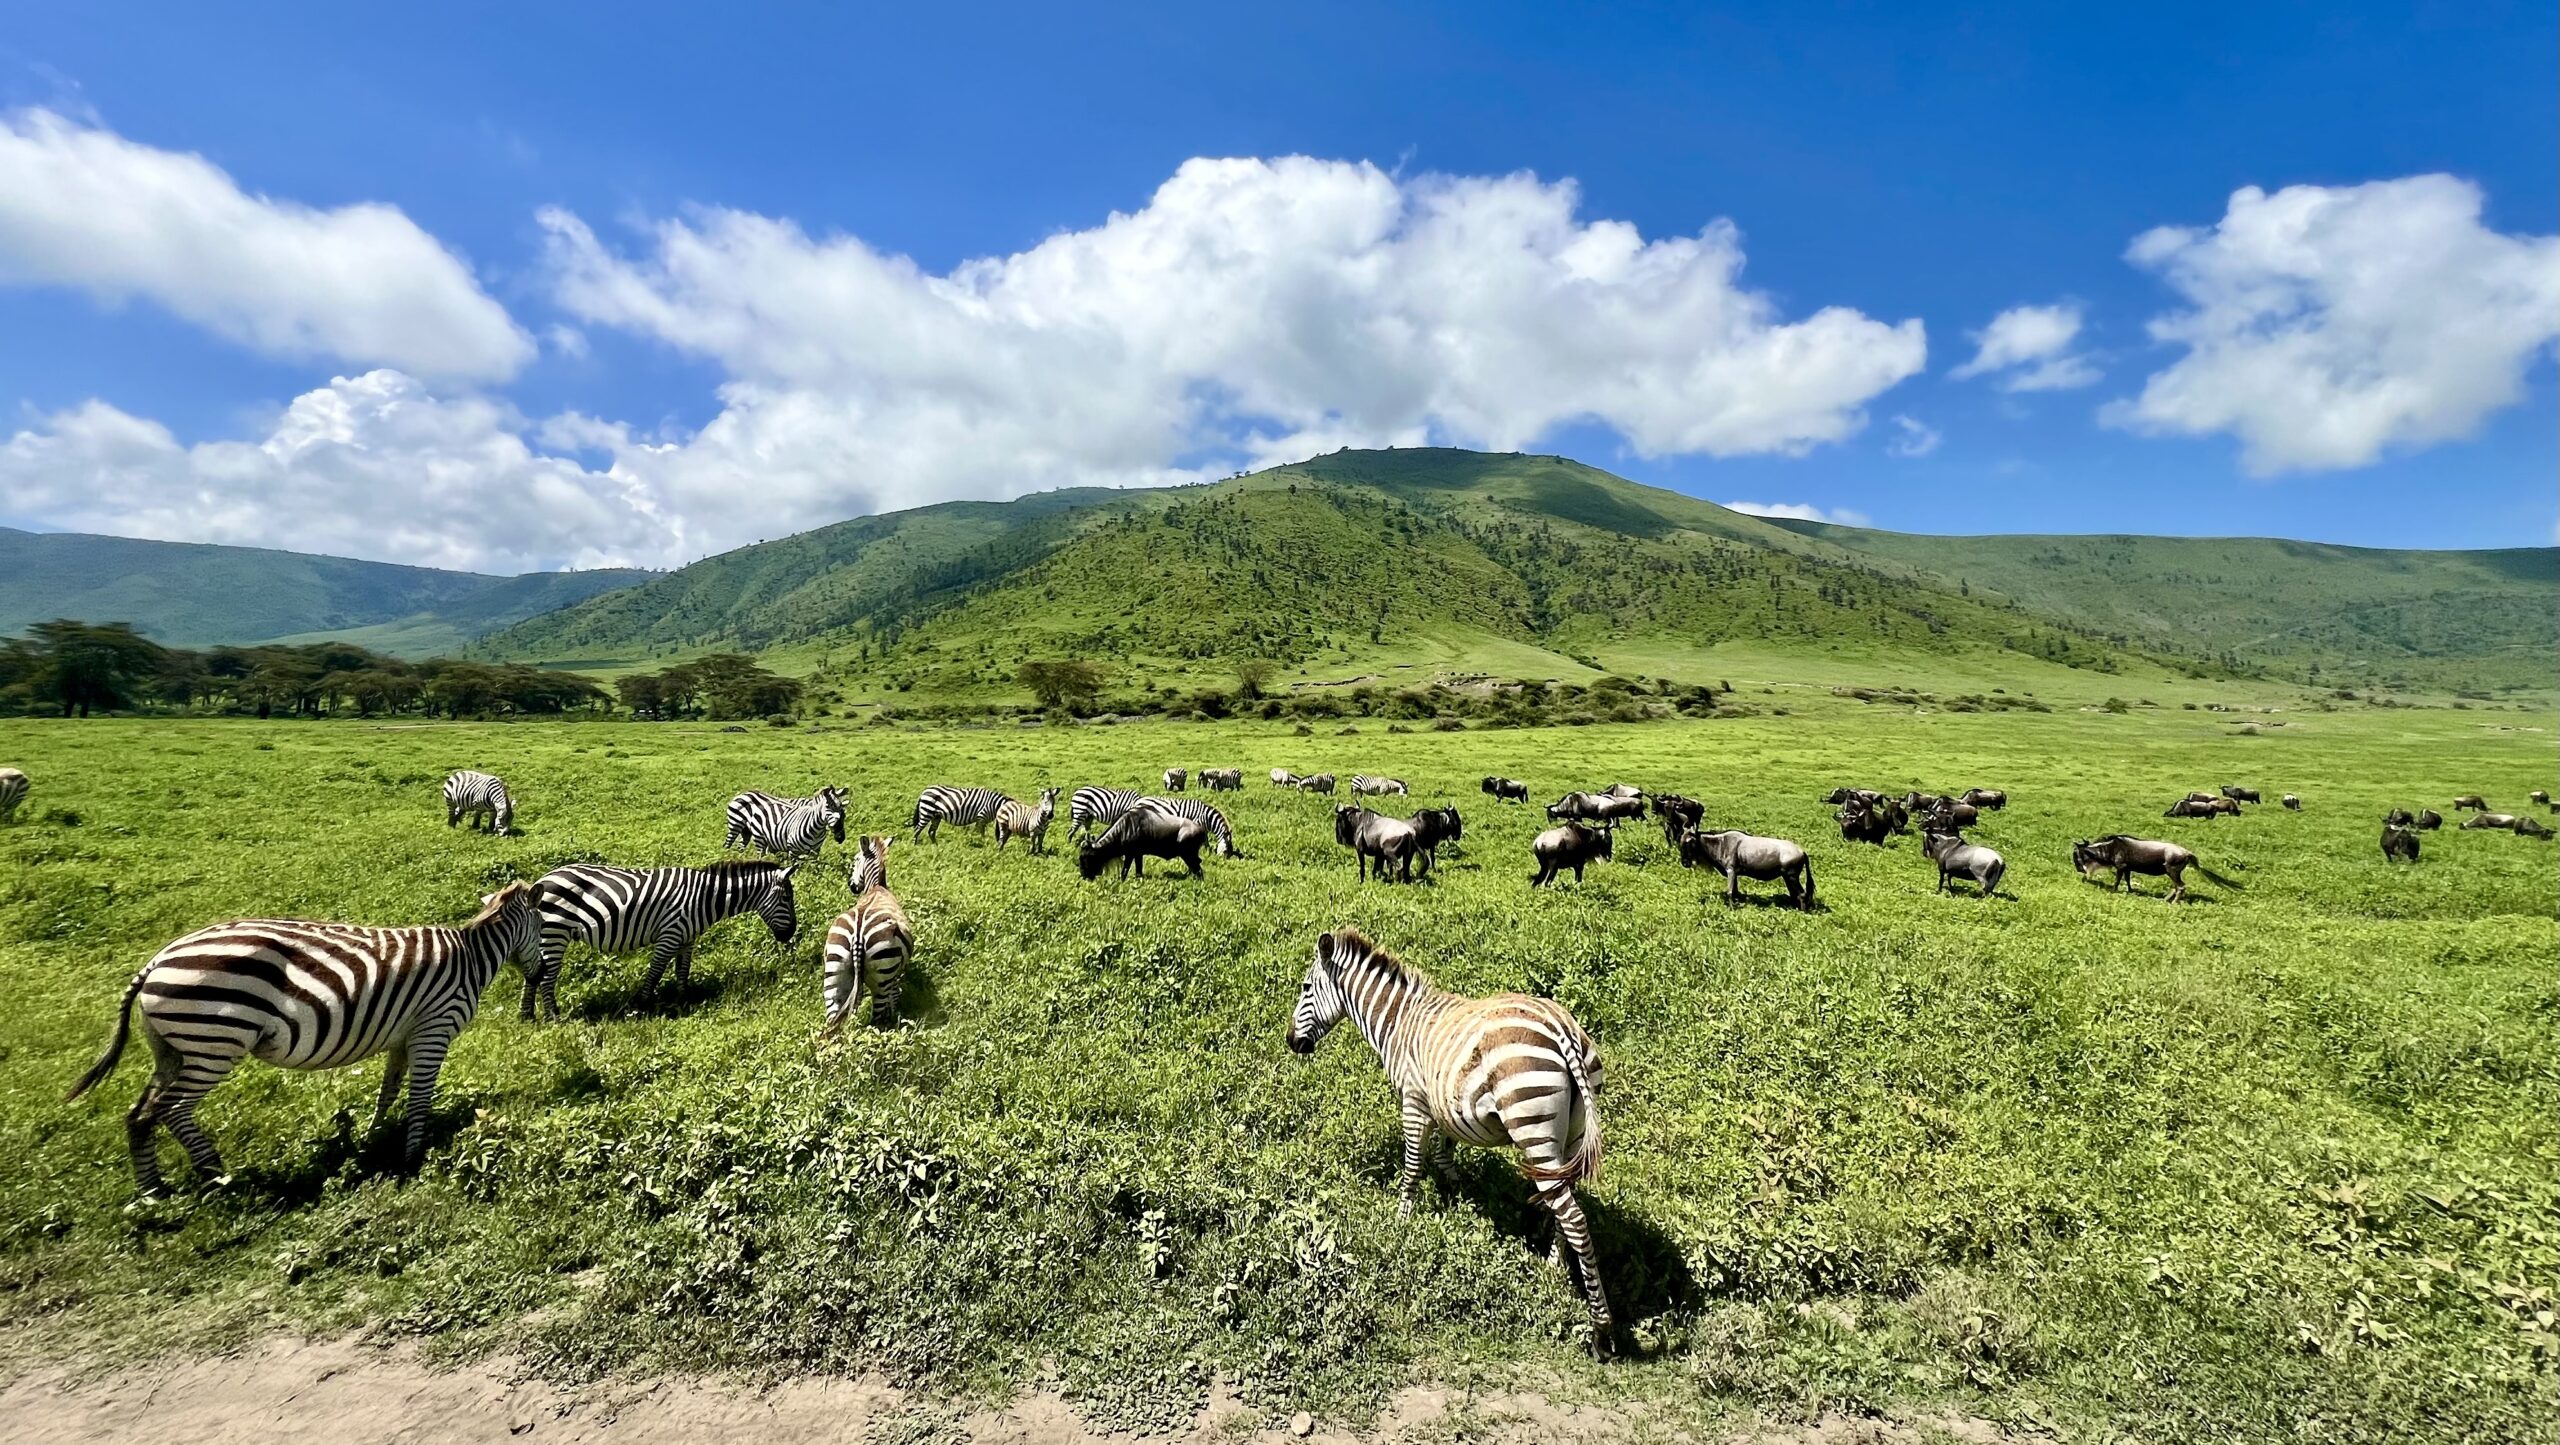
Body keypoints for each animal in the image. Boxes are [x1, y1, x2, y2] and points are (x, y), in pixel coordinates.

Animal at [65, 883, 542, 1195]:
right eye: (542, 927)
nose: (538, 974)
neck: (472, 957)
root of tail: (155, 962)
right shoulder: (434, 1030)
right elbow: (420, 1098)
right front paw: (413, 1154)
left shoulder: (402, 1037)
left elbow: (388, 1092)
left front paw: (375, 1137)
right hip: (215, 1043)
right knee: (171, 1109)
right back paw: (218, 1174)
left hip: (173, 1049)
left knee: (140, 1114)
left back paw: (152, 1191)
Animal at [523, 860, 799, 1019]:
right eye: (787, 898)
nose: (791, 933)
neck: (705, 899)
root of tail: (541, 881)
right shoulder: (670, 934)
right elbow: (656, 971)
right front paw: (643, 1004)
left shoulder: (687, 939)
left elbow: (682, 970)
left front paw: (683, 999)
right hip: (555, 932)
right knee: (546, 978)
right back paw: (554, 1017)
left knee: (534, 975)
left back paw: (527, 1015)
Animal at [823, 836, 914, 1031]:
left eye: (855, 859)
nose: (851, 886)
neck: (876, 887)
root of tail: (857, 936)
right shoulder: (893, 976)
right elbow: (894, 995)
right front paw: (894, 1014)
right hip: (881, 977)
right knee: (876, 1020)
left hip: (834, 972)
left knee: (833, 1018)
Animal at [1286, 926, 1612, 1345]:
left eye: (1306, 987)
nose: (1292, 1042)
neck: (1398, 1021)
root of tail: (1562, 1031)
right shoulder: (1443, 1103)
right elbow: (1444, 1154)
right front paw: (1459, 1197)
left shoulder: (1413, 1100)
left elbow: (1412, 1166)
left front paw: (1401, 1222)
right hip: (1569, 1136)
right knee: (1566, 1207)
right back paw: (1553, 1267)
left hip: (1531, 1123)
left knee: (1572, 1216)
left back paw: (1601, 1326)